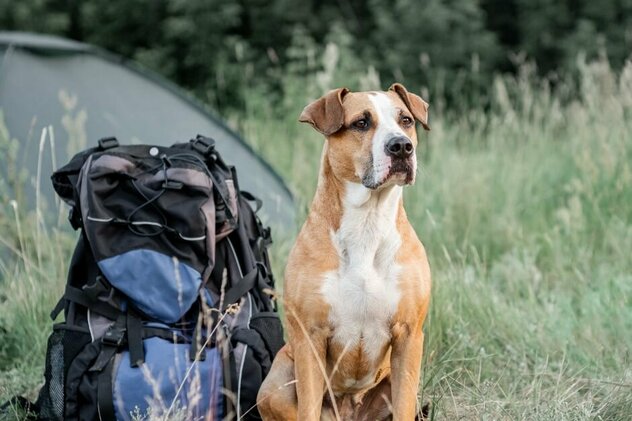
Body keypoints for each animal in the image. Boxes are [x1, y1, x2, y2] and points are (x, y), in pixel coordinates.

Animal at [256, 83, 430, 418]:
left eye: (405, 120)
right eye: (361, 122)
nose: (401, 147)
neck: (367, 223)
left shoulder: (409, 336)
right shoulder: (310, 337)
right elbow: (308, 408)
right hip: (276, 382)